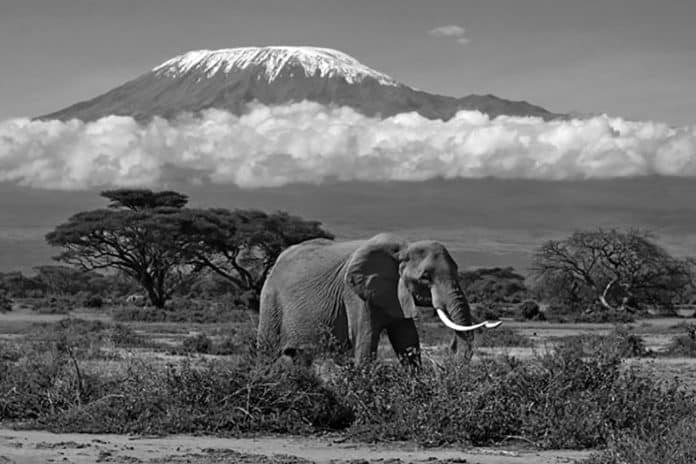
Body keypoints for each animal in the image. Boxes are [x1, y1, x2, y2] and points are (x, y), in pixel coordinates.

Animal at [256, 232, 500, 366]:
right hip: (269, 299)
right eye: (425, 277)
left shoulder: (395, 293)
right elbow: (366, 339)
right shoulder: (353, 293)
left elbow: (407, 340)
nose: (451, 348)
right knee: (267, 351)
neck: (402, 249)